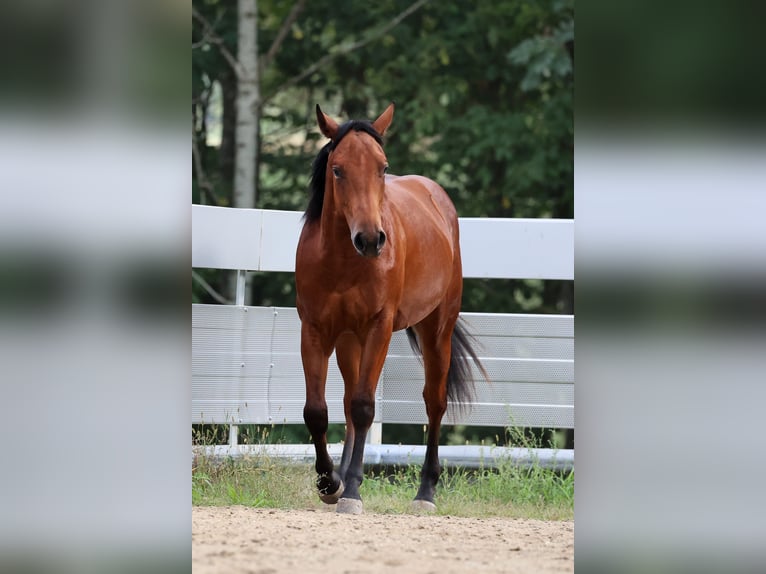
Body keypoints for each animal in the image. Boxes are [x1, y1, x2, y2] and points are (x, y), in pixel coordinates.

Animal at [295, 103, 486, 514]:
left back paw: (425, 493)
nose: (370, 239)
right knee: (347, 402)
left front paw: (351, 490)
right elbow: (317, 410)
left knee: (434, 402)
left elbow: (365, 406)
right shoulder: (314, 330)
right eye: (338, 169)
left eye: (382, 167)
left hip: (437, 330)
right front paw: (329, 482)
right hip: (349, 340)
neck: (343, 262)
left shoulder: (378, 328)